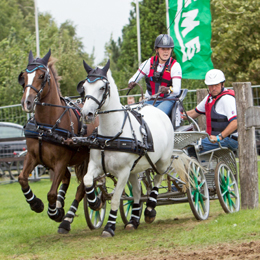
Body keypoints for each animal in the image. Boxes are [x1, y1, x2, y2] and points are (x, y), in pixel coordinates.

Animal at [18, 48, 97, 234]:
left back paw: (66, 219)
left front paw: (54, 213)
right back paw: (60, 206)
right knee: (67, 178)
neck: (46, 125)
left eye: (41, 76)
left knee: (81, 188)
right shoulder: (32, 156)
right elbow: (22, 178)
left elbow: (51, 193)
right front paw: (36, 204)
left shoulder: (61, 161)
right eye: (23, 76)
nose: (27, 102)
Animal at [77, 59, 175, 238]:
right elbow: (87, 180)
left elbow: (116, 199)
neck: (111, 136)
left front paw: (109, 226)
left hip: (162, 161)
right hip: (135, 170)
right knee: (137, 193)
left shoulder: (123, 172)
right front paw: (95, 202)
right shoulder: (95, 165)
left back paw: (150, 210)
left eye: (102, 88)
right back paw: (133, 220)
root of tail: (157, 109)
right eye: (85, 87)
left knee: (157, 179)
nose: (86, 114)